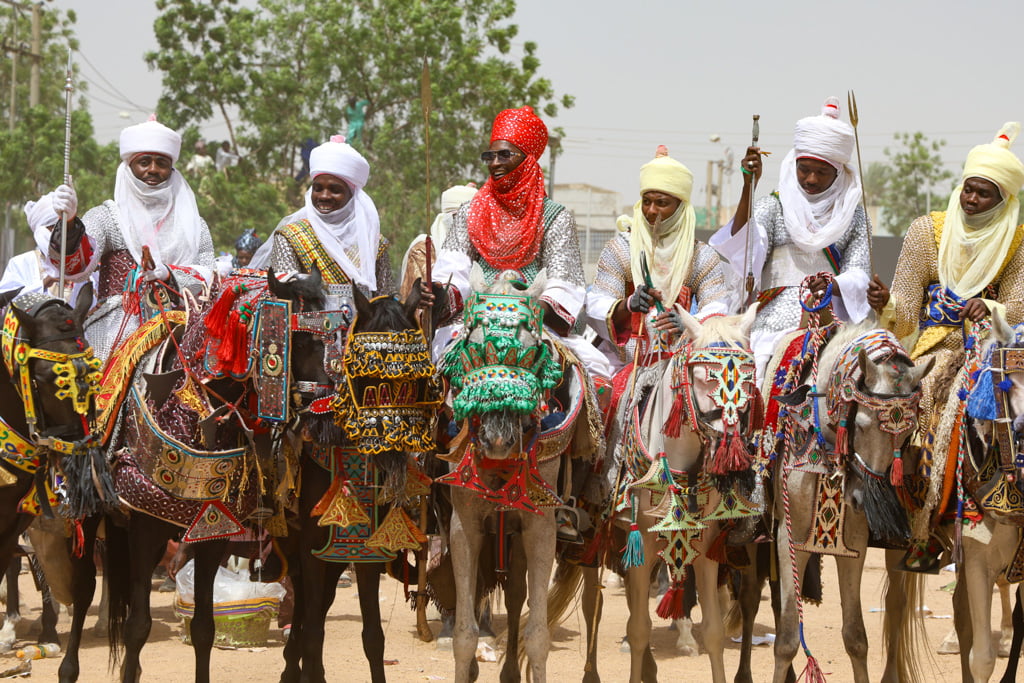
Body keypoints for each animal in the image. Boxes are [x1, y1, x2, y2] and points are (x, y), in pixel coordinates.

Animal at [438, 264, 598, 679]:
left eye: (530, 348)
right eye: (473, 343)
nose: (497, 438)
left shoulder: (539, 525)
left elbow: (538, 635)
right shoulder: (464, 523)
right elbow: (464, 635)